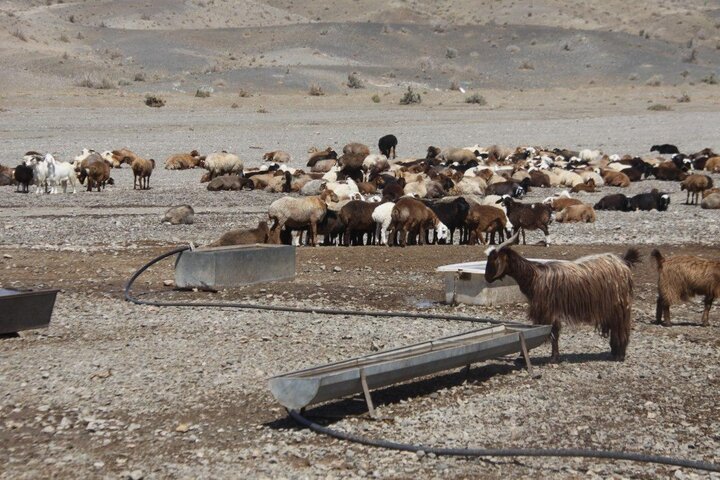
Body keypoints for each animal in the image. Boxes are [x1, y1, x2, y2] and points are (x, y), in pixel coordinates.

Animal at [484, 234, 640, 362]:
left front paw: (551, 357)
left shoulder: (547, 309)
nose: (487, 277)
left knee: (621, 327)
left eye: (493, 259)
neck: (534, 276)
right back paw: (614, 352)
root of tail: (624, 262)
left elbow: (553, 332)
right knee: (616, 327)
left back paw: (620, 355)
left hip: (619, 304)